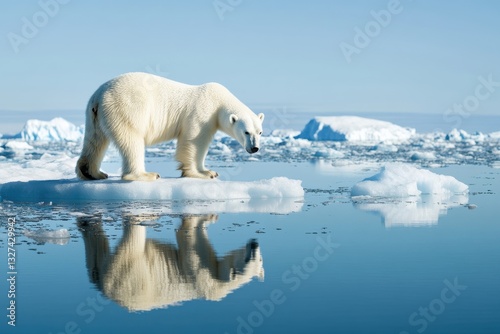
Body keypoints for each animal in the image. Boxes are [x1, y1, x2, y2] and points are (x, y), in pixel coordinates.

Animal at [76, 72, 264, 181]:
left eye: (260, 132)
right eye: (246, 132)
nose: (254, 148)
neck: (218, 101)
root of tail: (99, 96)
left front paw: (209, 171)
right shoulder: (202, 113)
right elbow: (193, 142)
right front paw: (202, 173)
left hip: (94, 115)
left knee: (95, 141)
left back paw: (92, 173)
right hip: (126, 109)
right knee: (132, 140)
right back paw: (146, 175)